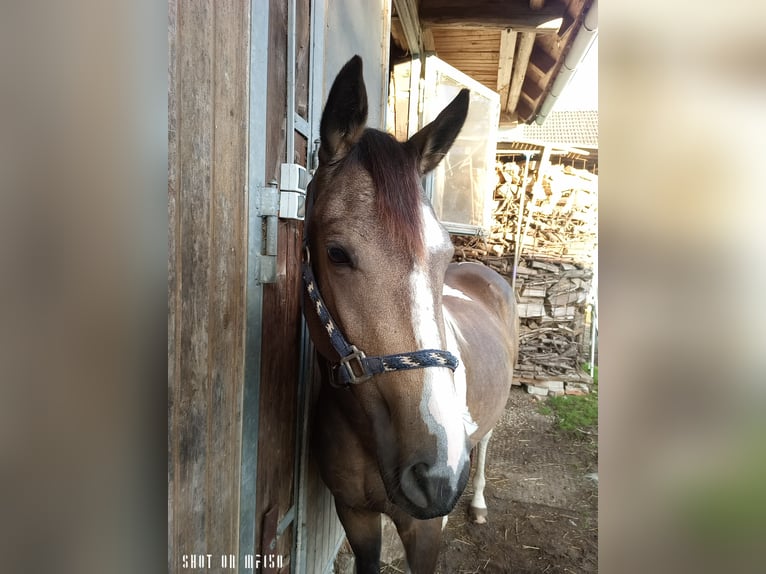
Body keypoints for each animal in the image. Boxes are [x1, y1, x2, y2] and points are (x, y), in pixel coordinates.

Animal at [304, 55, 520, 574]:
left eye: (444, 254)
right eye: (336, 253)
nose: (437, 475)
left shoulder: (425, 530)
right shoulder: (354, 514)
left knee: (485, 443)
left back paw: (478, 503)